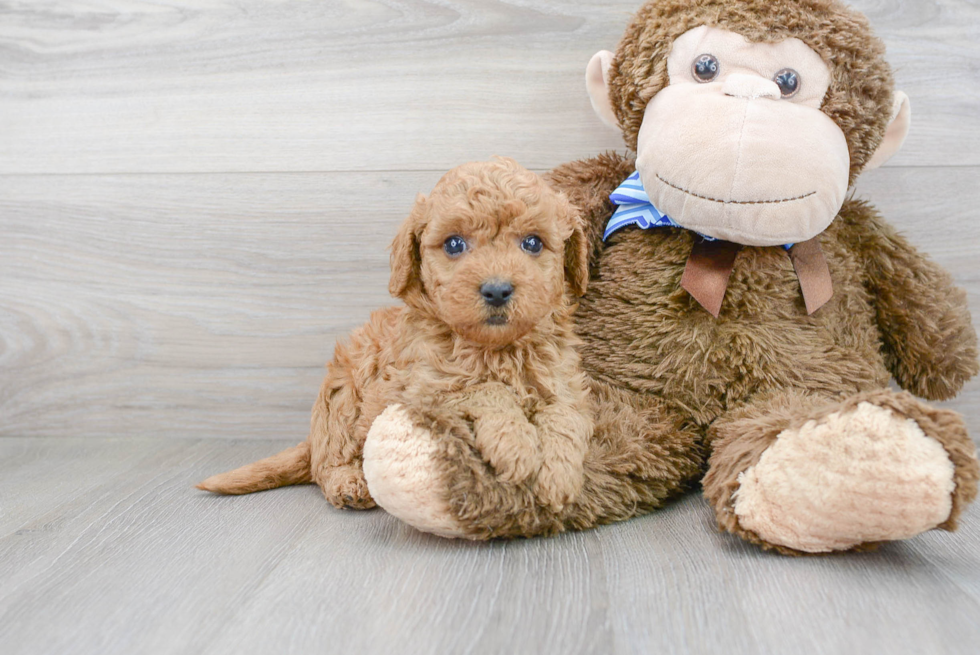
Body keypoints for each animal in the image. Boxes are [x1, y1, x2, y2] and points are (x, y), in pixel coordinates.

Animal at [199, 158, 592, 516]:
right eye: (454, 245)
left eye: (532, 243)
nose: (497, 290)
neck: (496, 348)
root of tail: (313, 438)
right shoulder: (421, 390)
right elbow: (485, 388)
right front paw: (516, 445)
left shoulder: (563, 383)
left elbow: (565, 418)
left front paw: (559, 476)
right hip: (341, 398)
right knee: (325, 463)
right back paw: (349, 483)